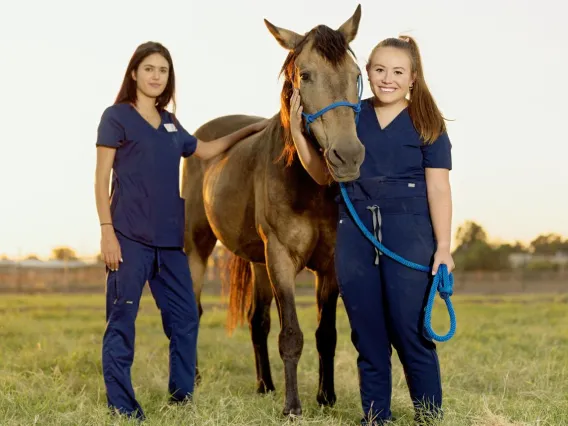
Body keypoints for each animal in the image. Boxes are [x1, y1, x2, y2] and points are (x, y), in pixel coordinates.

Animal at [184, 5, 366, 418]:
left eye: (356, 75)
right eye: (306, 74)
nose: (348, 157)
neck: (306, 184)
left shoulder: (329, 264)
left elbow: (325, 334)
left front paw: (326, 397)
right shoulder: (281, 257)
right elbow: (292, 335)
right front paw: (293, 406)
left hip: (256, 262)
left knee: (258, 322)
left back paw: (264, 385)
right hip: (197, 247)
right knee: (193, 310)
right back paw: (194, 379)